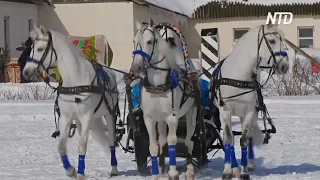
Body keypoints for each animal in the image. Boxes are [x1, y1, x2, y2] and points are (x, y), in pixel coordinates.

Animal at [22, 24, 120, 179]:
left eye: (40, 49)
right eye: (31, 48)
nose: (25, 72)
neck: (75, 79)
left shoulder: (86, 117)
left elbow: (82, 146)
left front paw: (79, 173)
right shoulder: (66, 117)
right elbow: (61, 147)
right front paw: (71, 170)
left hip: (109, 115)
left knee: (111, 141)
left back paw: (114, 169)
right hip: (79, 121)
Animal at [130, 18, 198, 180]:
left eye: (149, 41)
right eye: (134, 41)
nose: (136, 68)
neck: (158, 85)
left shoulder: (172, 118)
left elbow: (172, 141)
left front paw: (173, 173)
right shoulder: (149, 118)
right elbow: (154, 147)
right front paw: (156, 173)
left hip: (191, 114)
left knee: (189, 141)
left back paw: (189, 169)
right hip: (160, 119)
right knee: (161, 140)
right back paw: (161, 168)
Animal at [214, 23, 292, 179]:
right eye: (272, 41)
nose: (284, 66)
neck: (238, 76)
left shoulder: (249, 112)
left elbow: (244, 140)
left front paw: (243, 172)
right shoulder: (225, 111)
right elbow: (228, 139)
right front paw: (228, 170)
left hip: (249, 114)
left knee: (249, 137)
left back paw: (249, 164)